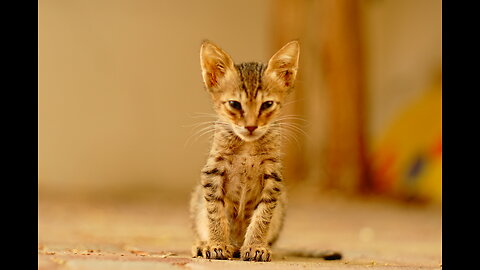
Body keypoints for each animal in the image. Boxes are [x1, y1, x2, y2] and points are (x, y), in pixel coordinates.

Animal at [189, 40, 298, 262]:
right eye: (234, 104)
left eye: (267, 104)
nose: (250, 126)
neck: (247, 147)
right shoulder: (213, 171)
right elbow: (215, 212)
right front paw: (217, 243)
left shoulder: (273, 177)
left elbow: (263, 216)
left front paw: (256, 246)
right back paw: (204, 244)